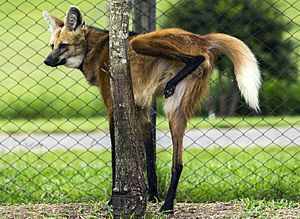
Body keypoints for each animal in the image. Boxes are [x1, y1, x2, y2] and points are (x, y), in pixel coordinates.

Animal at [42, 6, 260, 212]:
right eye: (52, 46)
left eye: (64, 46)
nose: (47, 61)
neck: (96, 50)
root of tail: (202, 38)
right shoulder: (143, 111)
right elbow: (149, 158)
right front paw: (152, 197)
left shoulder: (114, 109)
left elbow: (116, 157)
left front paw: (113, 200)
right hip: (176, 109)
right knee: (178, 163)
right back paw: (168, 205)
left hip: (142, 43)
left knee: (195, 57)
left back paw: (172, 82)